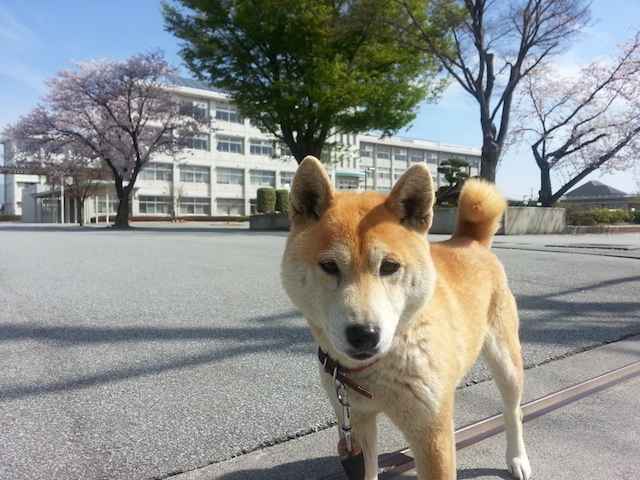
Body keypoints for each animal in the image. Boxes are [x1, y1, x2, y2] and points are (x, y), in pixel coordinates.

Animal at [280, 156, 528, 478]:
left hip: (506, 363)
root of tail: (469, 240)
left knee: (513, 411)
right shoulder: (355, 419)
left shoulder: (432, 433)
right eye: (329, 266)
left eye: (389, 266)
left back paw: (517, 458)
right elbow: (367, 468)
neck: (376, 369)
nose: (364, 334)